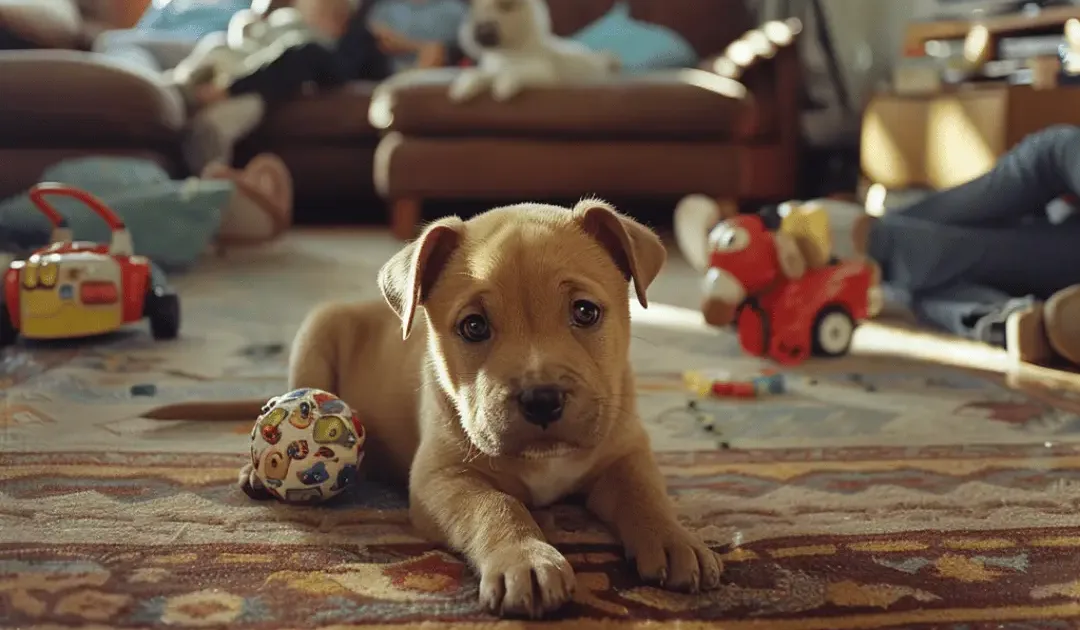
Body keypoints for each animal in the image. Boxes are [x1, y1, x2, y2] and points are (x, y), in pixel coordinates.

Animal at [156, 200, 721, 618]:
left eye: (585, 311)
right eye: (473, 326)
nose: (541, 398)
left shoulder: (625, 453)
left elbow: (646, 495)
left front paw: (674, 539)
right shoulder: (442, 479)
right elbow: (497, 506)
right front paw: (527, 558)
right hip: (317, 331)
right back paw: (257, 471)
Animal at [447, 0, 617, 102]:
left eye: (506, 6)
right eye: (472, 10)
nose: (478, 33)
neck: (507, 53)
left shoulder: (544, 73)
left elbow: (516, 71)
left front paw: (503, 86)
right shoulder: (492, 67)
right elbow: (482, 73)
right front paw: (465, 85)